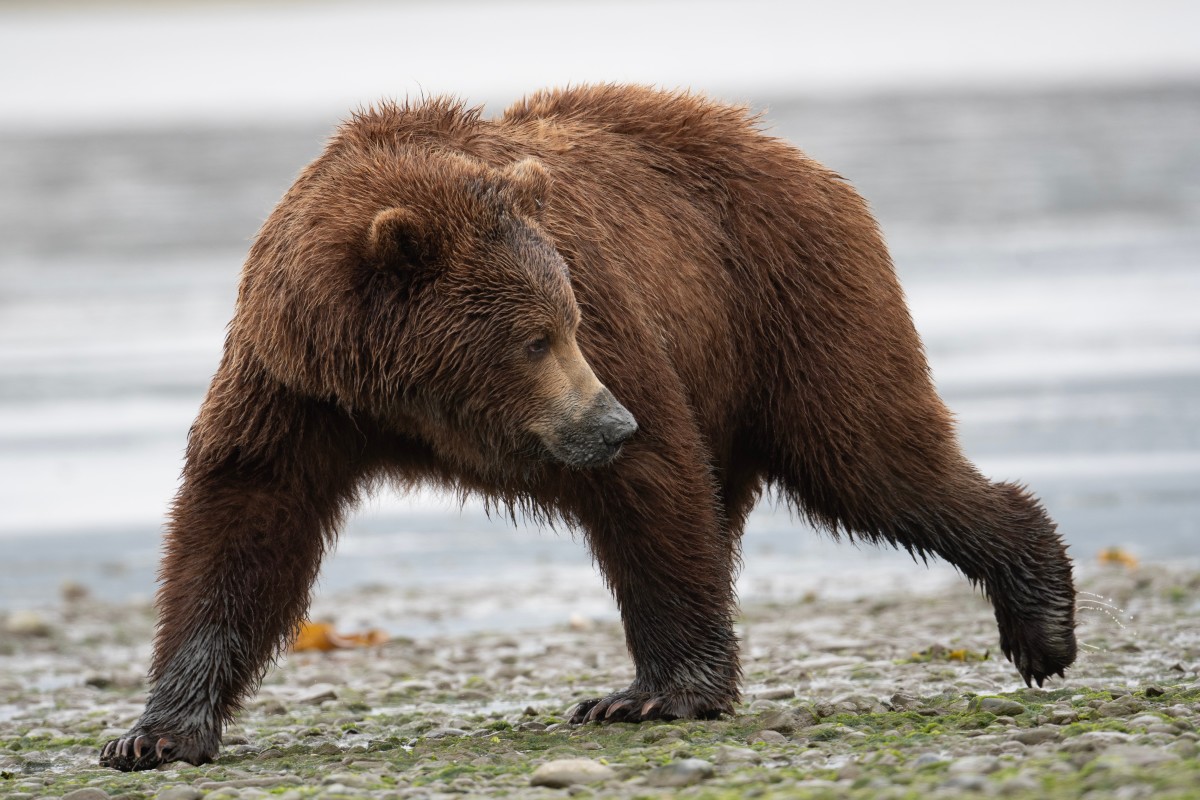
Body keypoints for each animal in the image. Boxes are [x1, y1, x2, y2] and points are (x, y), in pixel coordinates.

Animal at [100, 86, 1080, 767]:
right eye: (532, 338)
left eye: (565, 323)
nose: (611, 422)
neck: (404, 400)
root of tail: (795, 153)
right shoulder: (294, 390)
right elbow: (240, 526)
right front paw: (155, 733)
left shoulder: (615, 319)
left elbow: (652, 488)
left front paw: (660, 693)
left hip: (791, 302)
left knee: (872, 459)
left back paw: (1041, 620)